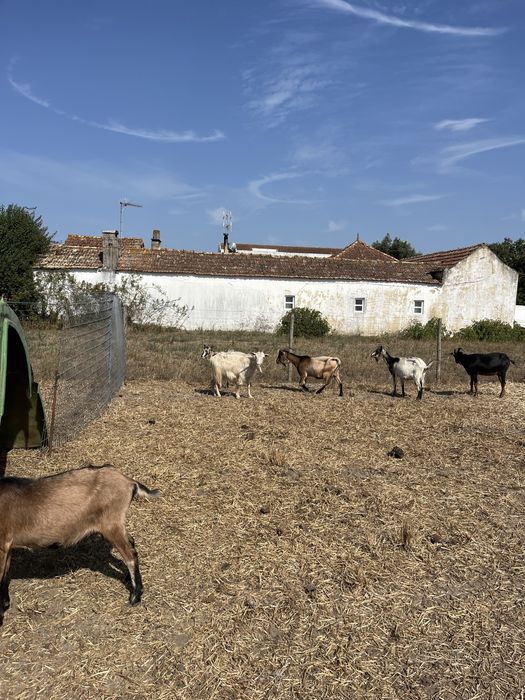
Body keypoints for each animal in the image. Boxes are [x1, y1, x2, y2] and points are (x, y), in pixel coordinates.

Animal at [0, 464, 160, 626]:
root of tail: (129, 482)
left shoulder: (2, 543)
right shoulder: (8, 545)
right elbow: (5, 574)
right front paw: (5, 604)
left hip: (111, 523)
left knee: (130, 554)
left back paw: (135, 596)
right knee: (131, 542)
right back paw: (128, 578)